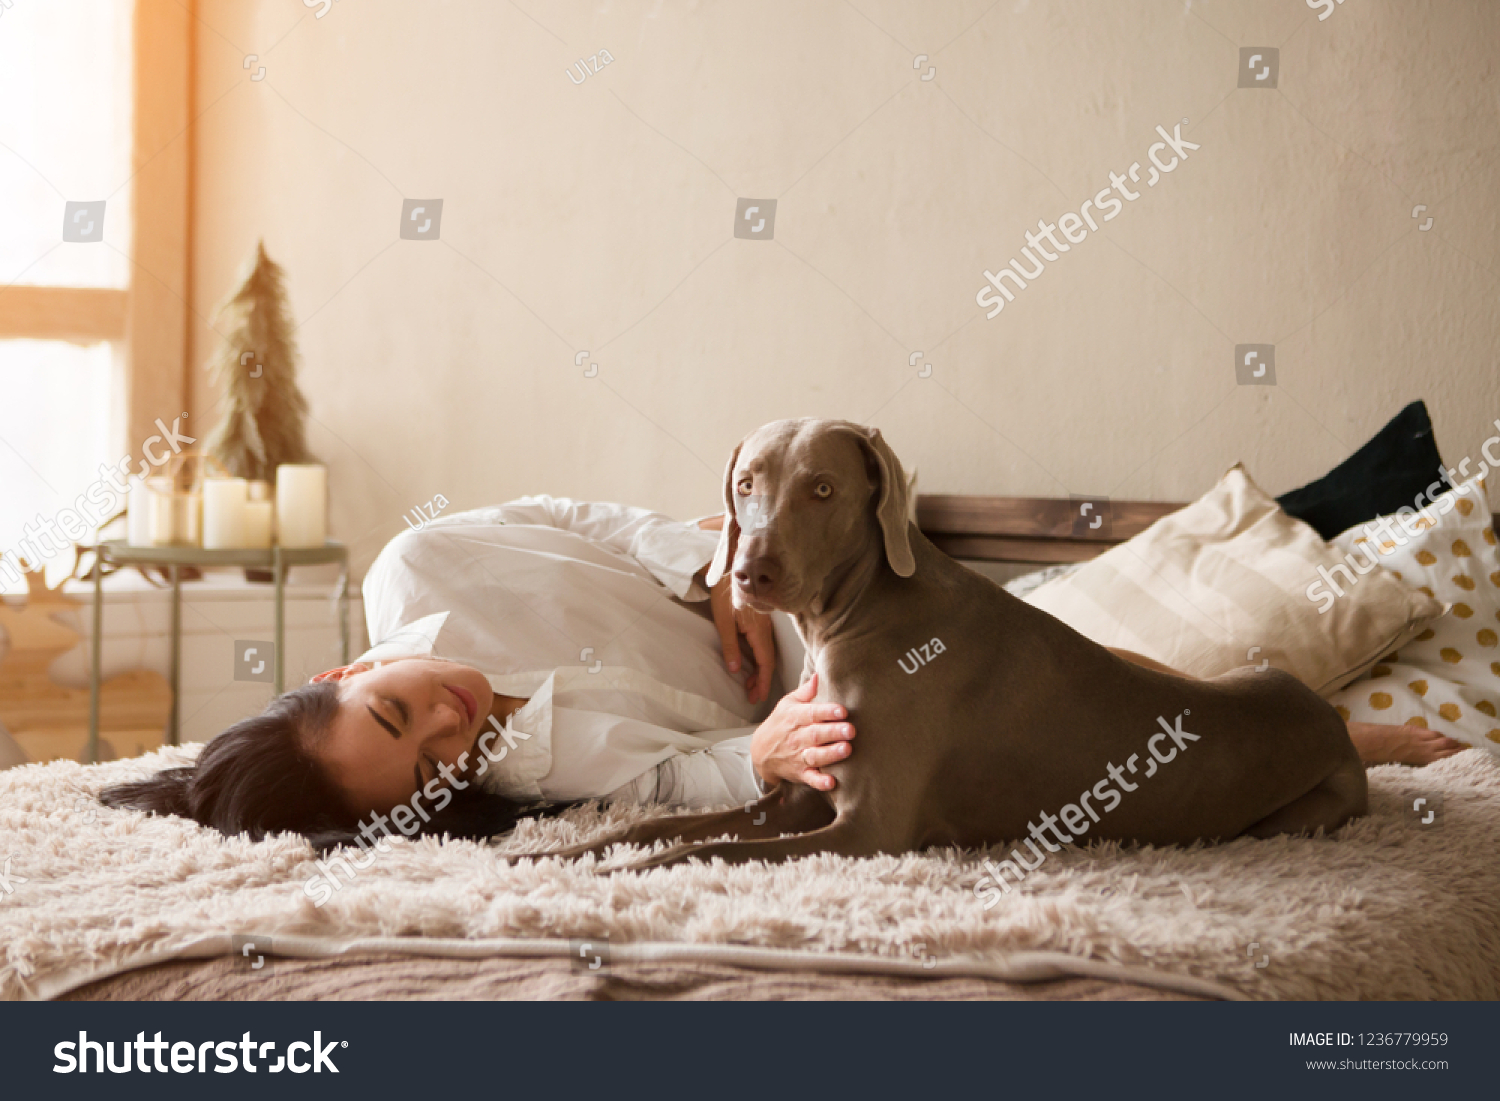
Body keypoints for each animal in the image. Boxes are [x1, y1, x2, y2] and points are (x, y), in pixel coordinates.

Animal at [531, 417, 1374, 876]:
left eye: (824, 489)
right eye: (745, 483)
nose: (749, 574)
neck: (864, 611)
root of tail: (1318, 709)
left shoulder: (865, 831)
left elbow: (689, 853)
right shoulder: (800, 796)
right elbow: (646, 828)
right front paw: (537, 856)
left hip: (1301, 813)